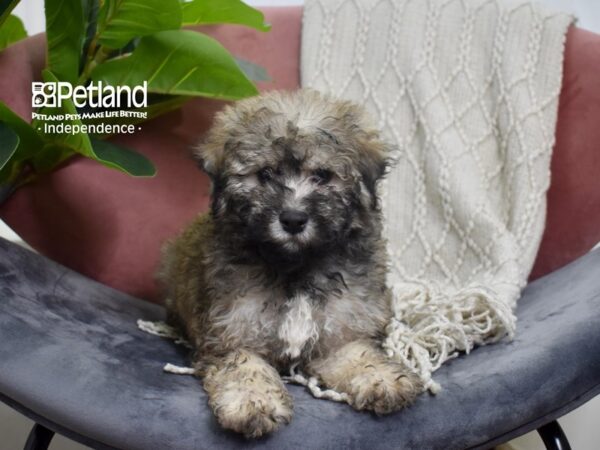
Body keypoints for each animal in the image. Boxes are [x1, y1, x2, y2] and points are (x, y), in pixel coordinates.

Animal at [159, 89, 422, 438]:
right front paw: (253, 401)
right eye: (265, 174)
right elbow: (245, 366)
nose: (293, 219)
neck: (296, 266)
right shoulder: (231, 334)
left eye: (322, 175)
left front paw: (380, 377)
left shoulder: (339, 332)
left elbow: (356, 353)